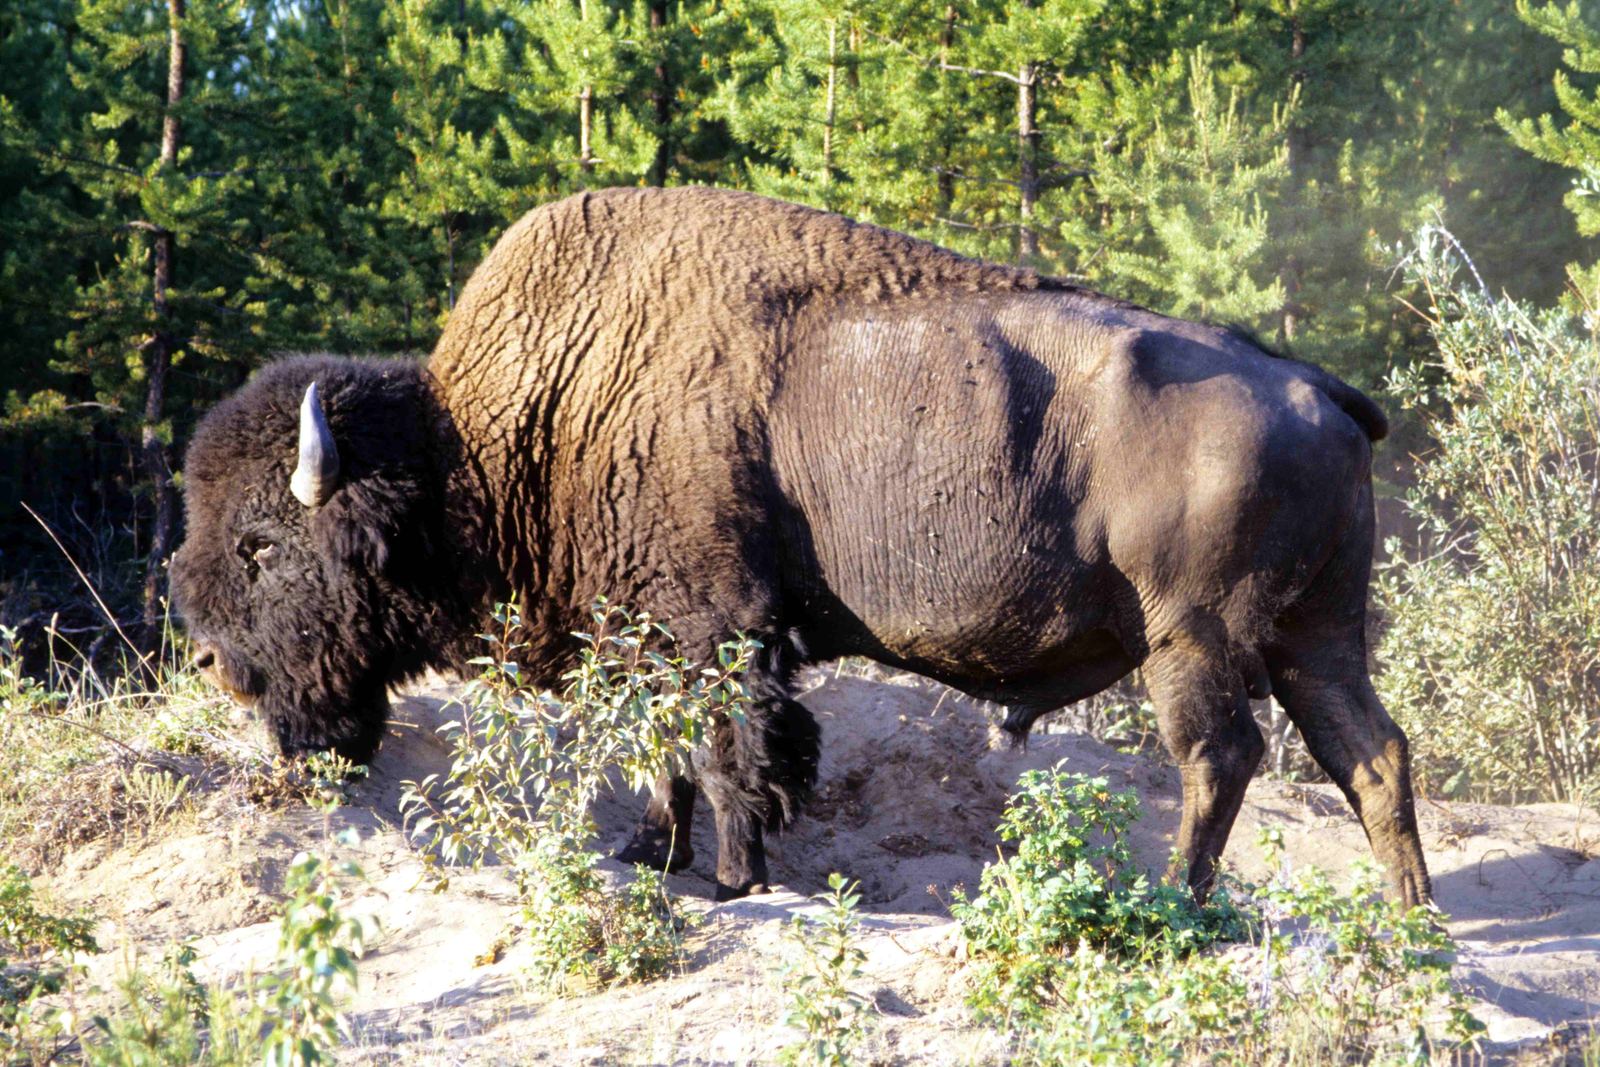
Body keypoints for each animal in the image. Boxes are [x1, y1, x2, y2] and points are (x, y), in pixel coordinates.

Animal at [169, 186, 1432, 907]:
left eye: (262, 543)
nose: (215, 663)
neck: (494, 437)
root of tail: (1315, 386)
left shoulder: (718, 628)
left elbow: (736, 751)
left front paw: (735, 879)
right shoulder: (650, 638)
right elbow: (668, 750)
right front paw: (651, 854)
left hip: (1197, 634)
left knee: (1220, 755)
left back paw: (1177, 904)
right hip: (1316, 631)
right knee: (1371, 751)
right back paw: (1409, 916)